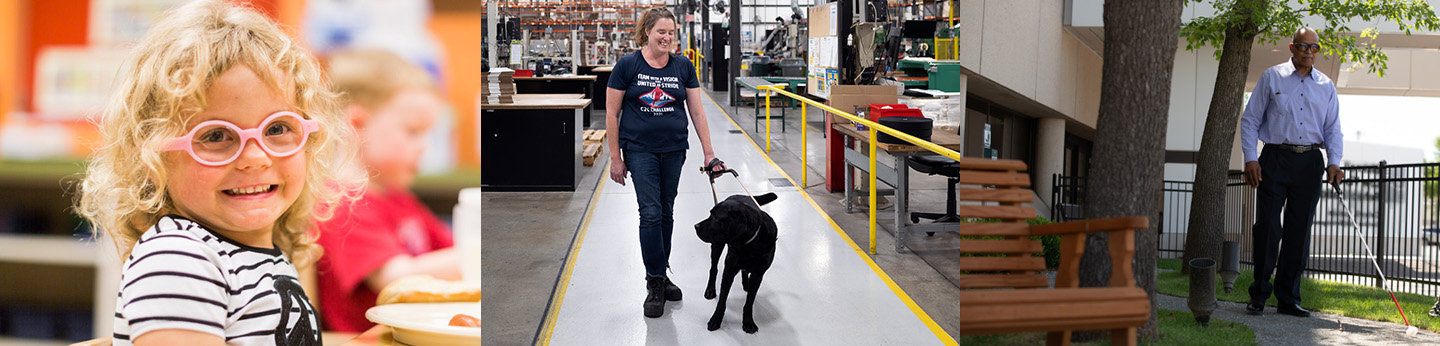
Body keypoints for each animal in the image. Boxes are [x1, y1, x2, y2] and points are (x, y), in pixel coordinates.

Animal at [694, 191, 783, 333]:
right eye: (711, 214)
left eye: (715, 218)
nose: (696, 226)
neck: (749, 244)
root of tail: (739, 194)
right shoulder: (729, 270)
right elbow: (722, 299)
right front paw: (716, 319)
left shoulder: (758, 274)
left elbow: (749, 301)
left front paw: (748, 322)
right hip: (717, 244)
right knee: (714, 268)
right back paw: (710, 289)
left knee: (744, 271)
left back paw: (746, 283)